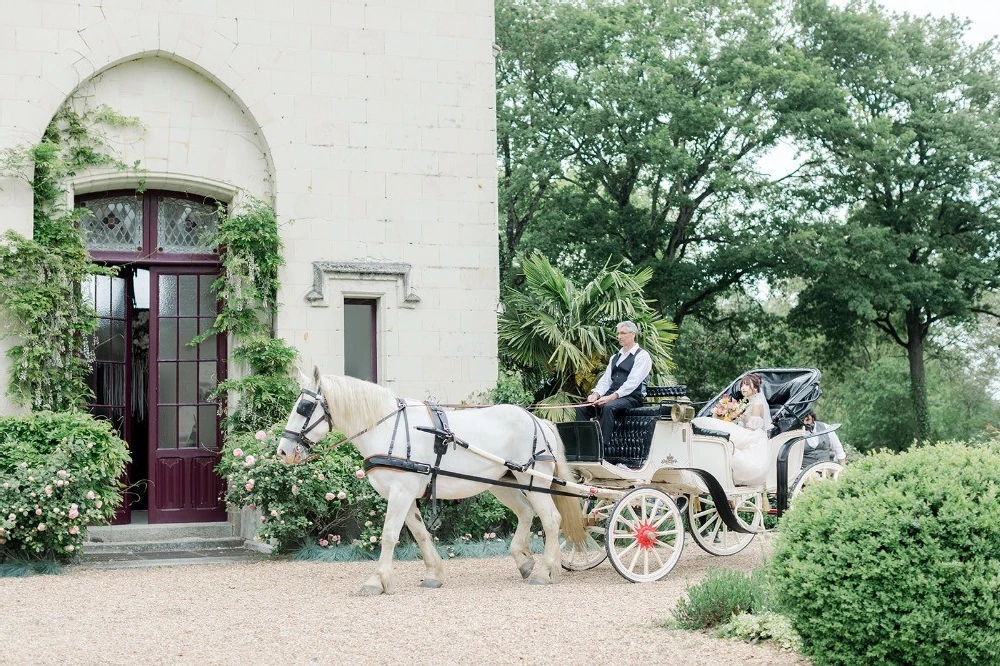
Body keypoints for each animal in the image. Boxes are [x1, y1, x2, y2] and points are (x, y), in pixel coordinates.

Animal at [276, 368, 584, 596]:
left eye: (304, 407)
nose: (283, 451)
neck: (387, 428)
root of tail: (538, 420)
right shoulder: (404, 494)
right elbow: (420, 533)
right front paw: (433, 574)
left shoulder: (400, 492)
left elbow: (390, 535)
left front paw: (377, 580)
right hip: (501, 482)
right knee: (527, 512)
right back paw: (525, 561)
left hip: (531, 478)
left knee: (551, 519)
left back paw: (544, 571)